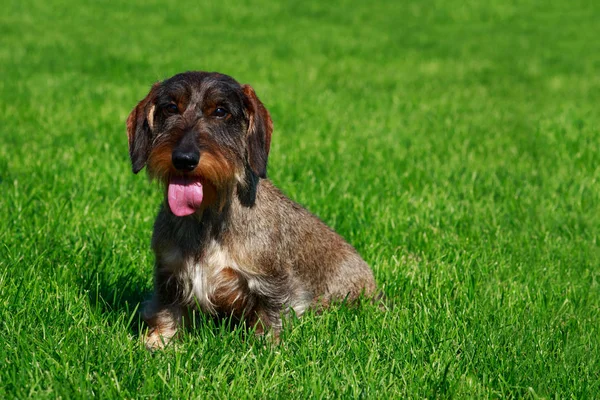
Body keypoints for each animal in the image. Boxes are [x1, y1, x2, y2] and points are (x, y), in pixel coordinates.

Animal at [127, 72, 378, 350]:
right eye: (171, 107)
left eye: (220, 111)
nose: (184, 159)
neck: (208, 217)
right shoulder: (169, 274)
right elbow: (167, 310)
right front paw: (161, 341)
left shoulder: (270, 281)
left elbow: (270, 314)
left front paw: (265, 346)